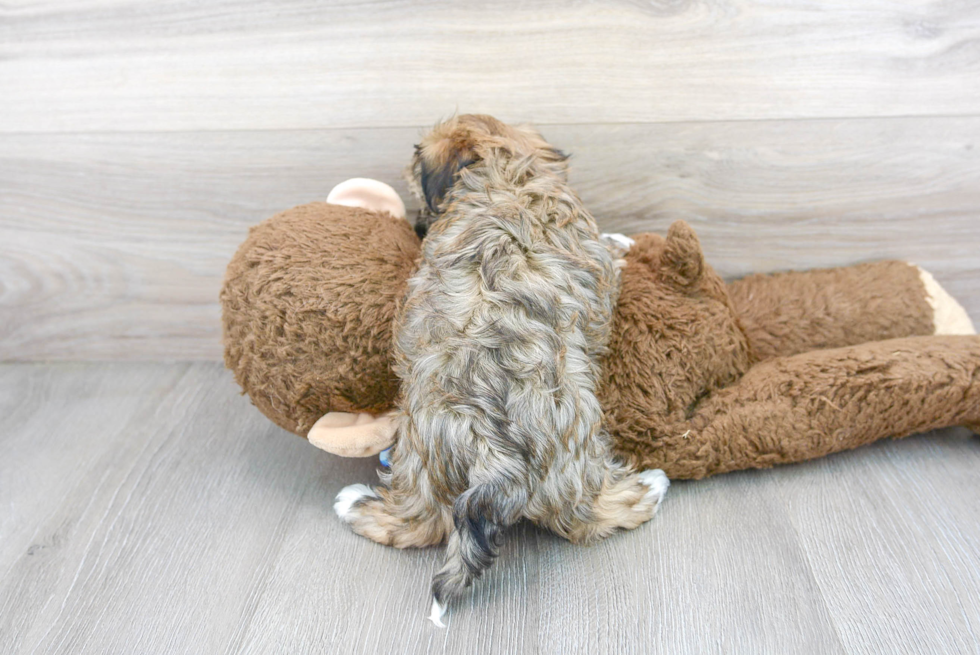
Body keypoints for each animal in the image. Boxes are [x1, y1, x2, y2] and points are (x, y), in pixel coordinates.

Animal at [334, 115, 668, 628]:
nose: (416, 225)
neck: (507, 168)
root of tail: (490, 448)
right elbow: (611, 259)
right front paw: (624, 243)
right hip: (577, 450)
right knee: (585, 515)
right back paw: (648, 488)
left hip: (421, 451)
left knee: (418, 521)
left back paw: (355, 504)